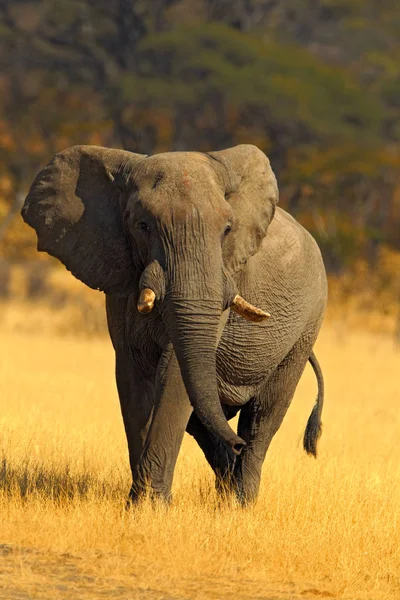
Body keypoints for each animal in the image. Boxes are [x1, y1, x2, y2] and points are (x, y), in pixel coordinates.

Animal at [21, 143, 328, 504]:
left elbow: (175, 372)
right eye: (142, 225)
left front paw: (150, 506)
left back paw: (240, 501)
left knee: (261, 419)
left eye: (227, 229)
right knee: (204, 420)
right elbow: (133, 377)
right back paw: (227, 486)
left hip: (306, 326)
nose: (236, 447)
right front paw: (141, 505)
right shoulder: (120, 279)